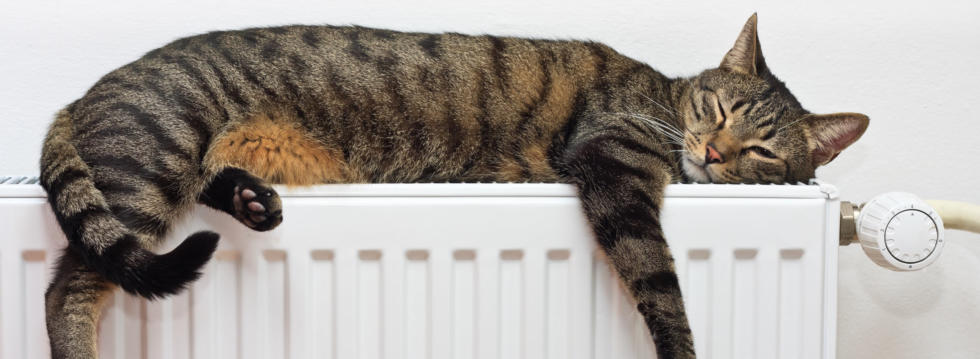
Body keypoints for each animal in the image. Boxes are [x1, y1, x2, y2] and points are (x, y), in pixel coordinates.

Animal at [38, 14, 864, 359]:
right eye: (718, 109)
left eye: (762, 150)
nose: (714, 153)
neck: (664, 101)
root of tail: (81, 96)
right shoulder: (615, 165)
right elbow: (660, 283)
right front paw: (683, 348)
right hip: (149, 167)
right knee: (67, 287)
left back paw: (249, 198)